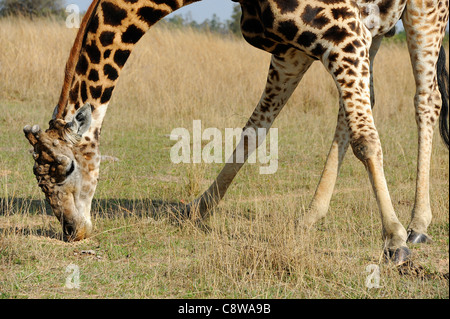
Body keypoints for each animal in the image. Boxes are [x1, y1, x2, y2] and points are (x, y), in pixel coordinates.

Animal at [22, 0, 448, 264]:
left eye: (65, 168)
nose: (72, 231)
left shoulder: (340, 29)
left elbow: (366, 139)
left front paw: (393, 240)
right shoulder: (296, 48)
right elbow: (253, 131)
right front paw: (198, 209)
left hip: (423, 10)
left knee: (426, 99)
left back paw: (417, 226)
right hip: (374, 27)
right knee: (359, 106)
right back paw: (311, 216)